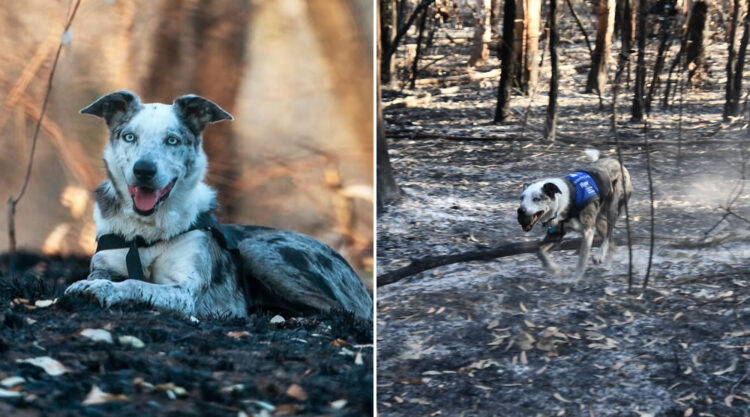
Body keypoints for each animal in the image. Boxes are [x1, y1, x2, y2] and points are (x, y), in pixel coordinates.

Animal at [64, 90, 374, 318]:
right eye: (129, 136)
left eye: (172, 140)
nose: (144, 170)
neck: (146, 231)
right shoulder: (106, 263)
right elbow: (105, 275)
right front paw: (90, 283)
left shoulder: (184, 292)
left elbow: (135, 283)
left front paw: (103, 290)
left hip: (257, 250)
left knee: (343, 312)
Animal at [516, 154, 636, 282]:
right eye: (522, 198)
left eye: (536, 199)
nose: (520, 210)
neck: (562, 203)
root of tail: (616, 161)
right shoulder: (556, 233)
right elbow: (539, 251)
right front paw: (553, 269)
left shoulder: (588, 231)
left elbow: (582, 258)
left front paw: (576, 278)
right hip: (598, 221)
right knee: (612, 243)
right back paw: (607, 266)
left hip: (612, 209)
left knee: (608, 234)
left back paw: (600, 255)